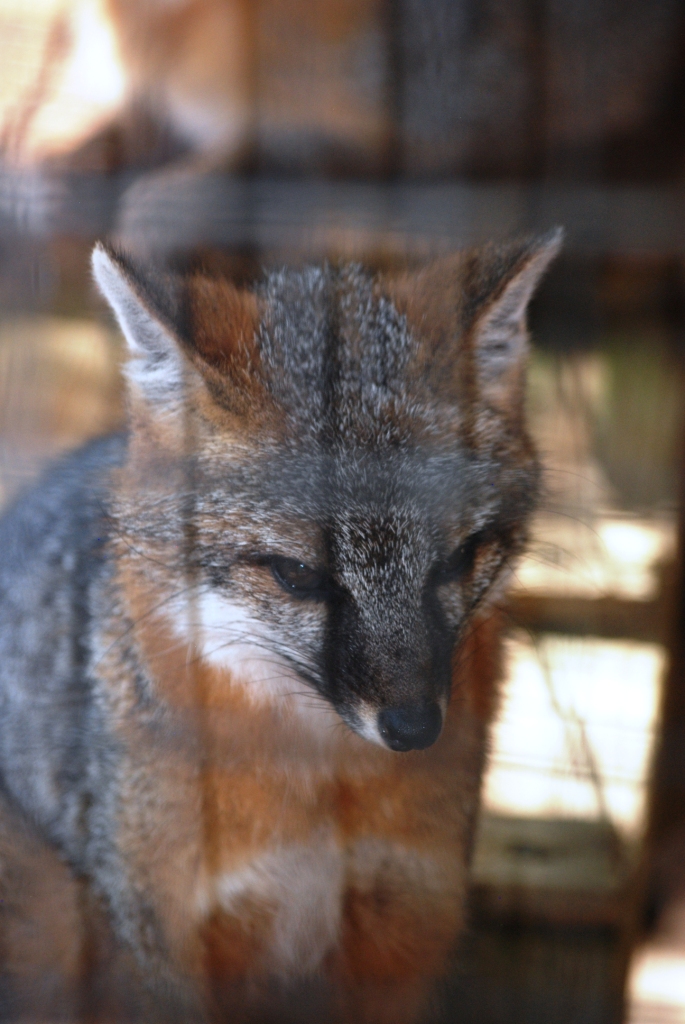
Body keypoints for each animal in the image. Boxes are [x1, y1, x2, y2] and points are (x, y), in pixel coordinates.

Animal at [0, 230, 560, 1023]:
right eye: (298, 575)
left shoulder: (406, 928)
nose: (414, 727)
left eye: (456, 560)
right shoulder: (168, 946)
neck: (324, 793)